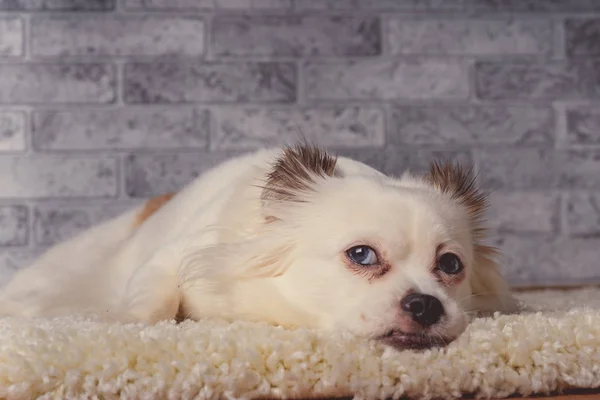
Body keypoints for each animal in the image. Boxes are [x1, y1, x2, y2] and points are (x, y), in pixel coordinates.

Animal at [0, 144, 516, 350]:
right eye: (362, 255)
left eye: (450, 264)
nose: (427, 304)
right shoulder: (173, 258)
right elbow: (153, 299)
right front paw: (128, 323)